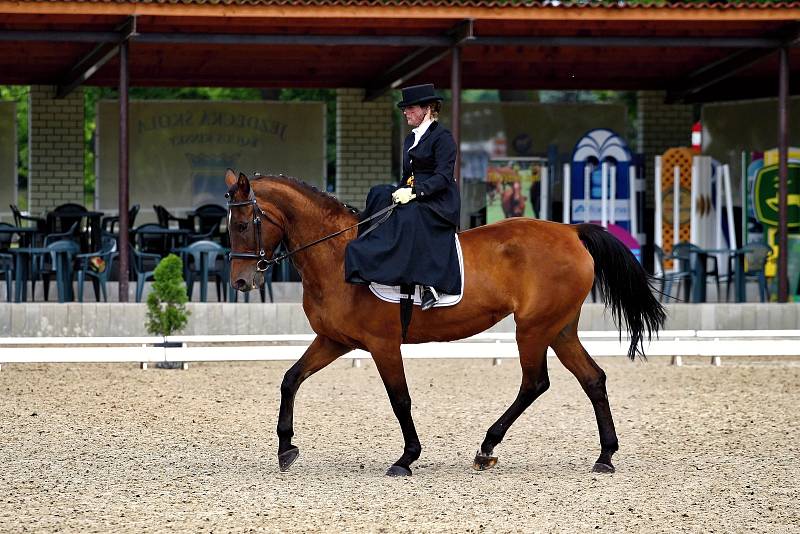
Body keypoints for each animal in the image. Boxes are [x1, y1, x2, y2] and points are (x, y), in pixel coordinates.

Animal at [222, 171, 664, 478]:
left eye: (243, 225)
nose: (241, 282)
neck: (337, 254)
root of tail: (571, 231)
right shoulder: (334, 340)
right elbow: (290, 379)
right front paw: (285, 449)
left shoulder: (383, 344)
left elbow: (400, 400)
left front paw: (406, 458)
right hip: (559, 329)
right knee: (592, 379)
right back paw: (605, 456)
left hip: (533, 328)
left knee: (535, 383)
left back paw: (487, 448)